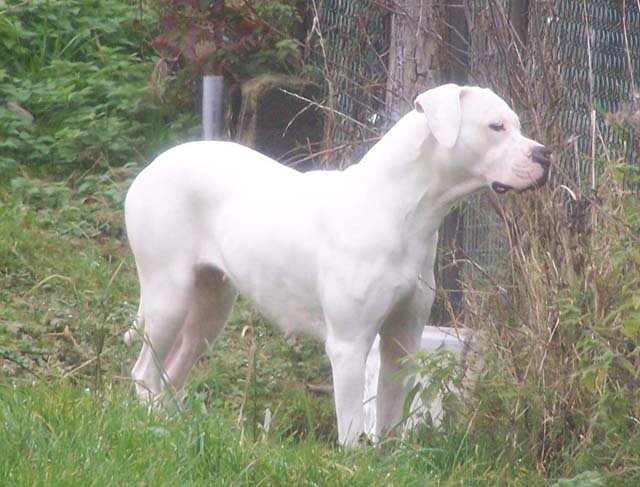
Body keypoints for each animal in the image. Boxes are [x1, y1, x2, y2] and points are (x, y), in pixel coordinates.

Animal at [124, 83, 552, 446]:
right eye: (496, 126)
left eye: (517, 125)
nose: (544, 153)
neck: (402, 210)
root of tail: (151, 167)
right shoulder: (349, 344)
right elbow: (350, 425)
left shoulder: (402, 338)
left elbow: (390, 414)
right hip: (169, 297)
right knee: (145, 372)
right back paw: (151, 425)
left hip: (210, 309)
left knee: (171, 373)